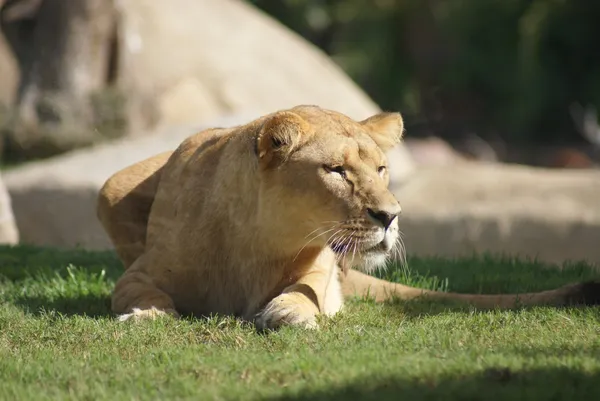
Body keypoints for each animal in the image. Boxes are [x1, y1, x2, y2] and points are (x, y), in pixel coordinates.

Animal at [96, 104, 596, 328]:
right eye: (336, 171)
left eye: (382, 169)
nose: (390, 216)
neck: (256, 241)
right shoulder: (137, 273)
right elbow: (139, 291)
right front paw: (145, 314)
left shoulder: (319, 269)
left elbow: (306, 293)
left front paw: (292, 312)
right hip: (110, 186)